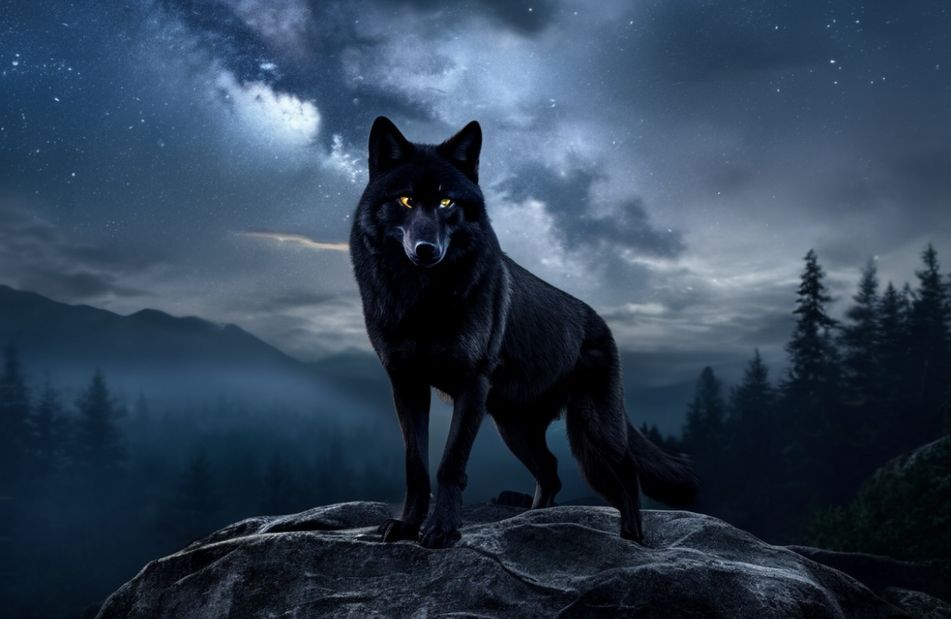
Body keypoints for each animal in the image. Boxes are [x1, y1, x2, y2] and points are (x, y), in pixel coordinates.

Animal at [350, 116, 698, 549]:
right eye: (406, 201)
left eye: (446, 203)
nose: (427, 249)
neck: (420, 296)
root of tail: (600, 323)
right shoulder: (407, 385)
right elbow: (416, 467)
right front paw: (407, 526)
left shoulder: (471, 385)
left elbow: (450, 465)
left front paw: (442, 530)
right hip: (514, 427)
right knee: (551, 471)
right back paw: (531, 522)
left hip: (593, 431)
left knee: (626, 472)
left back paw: (631, 536)